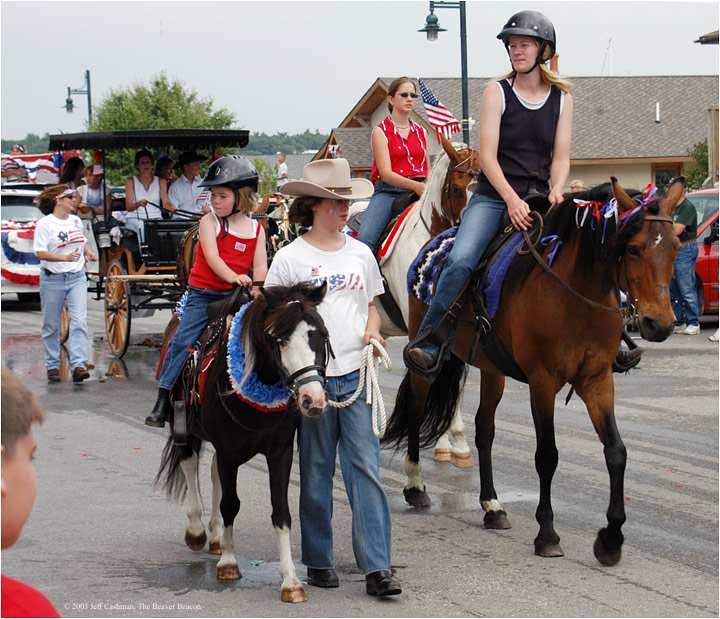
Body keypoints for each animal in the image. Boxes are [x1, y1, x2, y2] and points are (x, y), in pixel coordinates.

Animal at [156, 284, 330, 604]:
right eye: (281, 339)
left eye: (322, 335)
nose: (313, 399)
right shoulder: (228, 451)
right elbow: (230, 504)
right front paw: (228, 563)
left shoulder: (279, 453)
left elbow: (281, 512)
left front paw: (291, 581)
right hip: (183, 427)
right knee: (189, 463)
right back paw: (198, 531)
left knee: (212, 472)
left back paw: (215, 537)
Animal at [386, 176, 684, 568]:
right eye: (633, 250)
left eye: (677, 246)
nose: (660, 324)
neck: (574, 292)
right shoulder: (542, 382)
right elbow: (547, 456)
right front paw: (547, 533)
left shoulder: (597, 379)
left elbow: (616, 451)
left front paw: (611, 538)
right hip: (425, 357)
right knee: (418, 410)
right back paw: (416, 485)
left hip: (491, 367)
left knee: (485, 429)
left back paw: (492, 505)